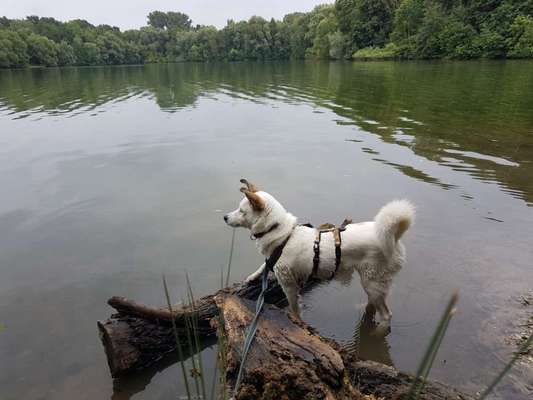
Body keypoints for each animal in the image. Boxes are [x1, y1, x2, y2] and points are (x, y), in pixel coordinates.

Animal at [222, 180, 414, 330]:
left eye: (241, 211)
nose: (224, 217)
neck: (281, 232)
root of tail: (393, 236)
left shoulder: (288, 283)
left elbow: (294, 307)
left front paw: (297, 321)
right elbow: (264, 265)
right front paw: (252, 277)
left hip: (372, 281)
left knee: (386, 314)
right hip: (372, 283)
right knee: (373, 305)